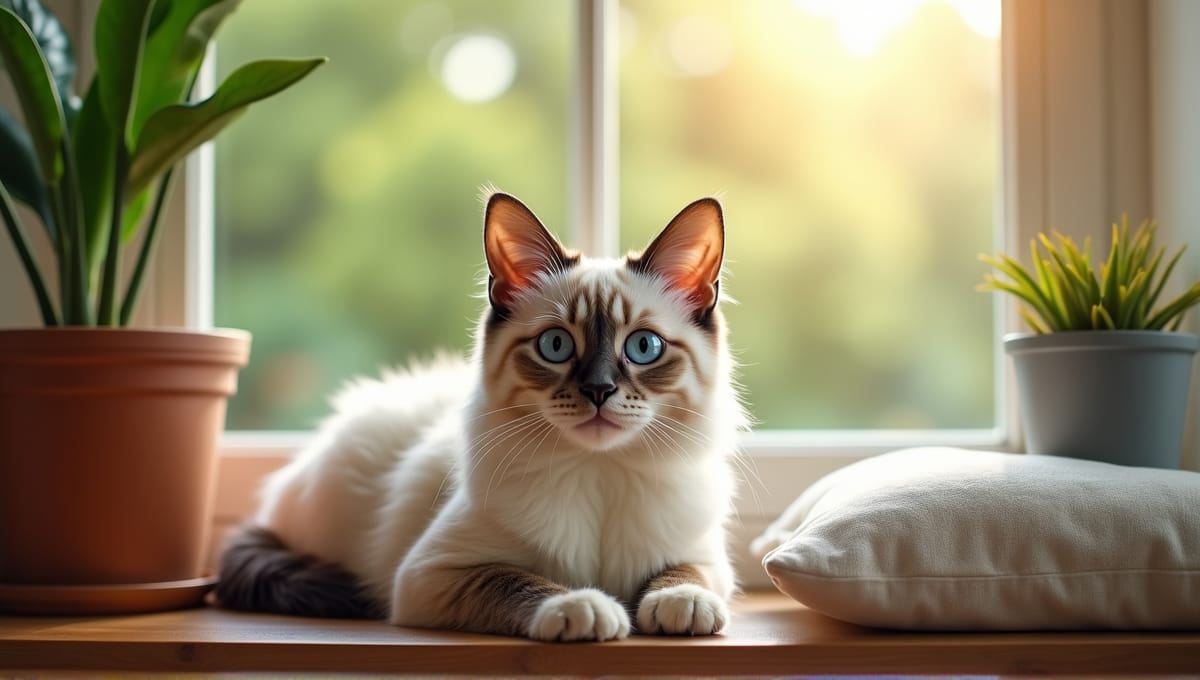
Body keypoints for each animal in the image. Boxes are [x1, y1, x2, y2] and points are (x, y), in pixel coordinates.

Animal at [213, 193, 739, 642]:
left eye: (643, 347)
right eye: (556, 345)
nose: (598, 390)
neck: (598, 472)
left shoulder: (703, 555)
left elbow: (684, 574)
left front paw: (682, 604)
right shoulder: (433, 573)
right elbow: (518, 581)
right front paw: (584, 608)